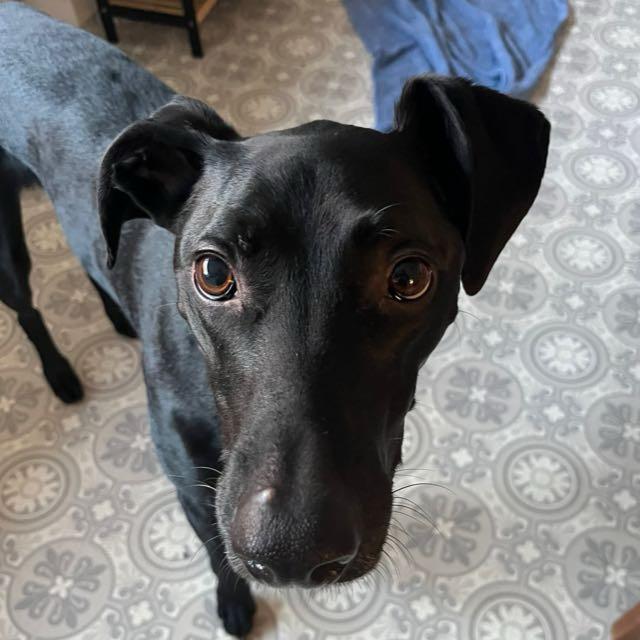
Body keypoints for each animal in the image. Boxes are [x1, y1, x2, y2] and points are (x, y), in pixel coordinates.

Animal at [0, 3, 550, 637]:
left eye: (409, 278)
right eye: (213, 272)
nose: (291, 555)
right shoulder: (191, 481)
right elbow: (216, 548)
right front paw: (234, 602)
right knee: (27, 307)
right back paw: (60, 374)